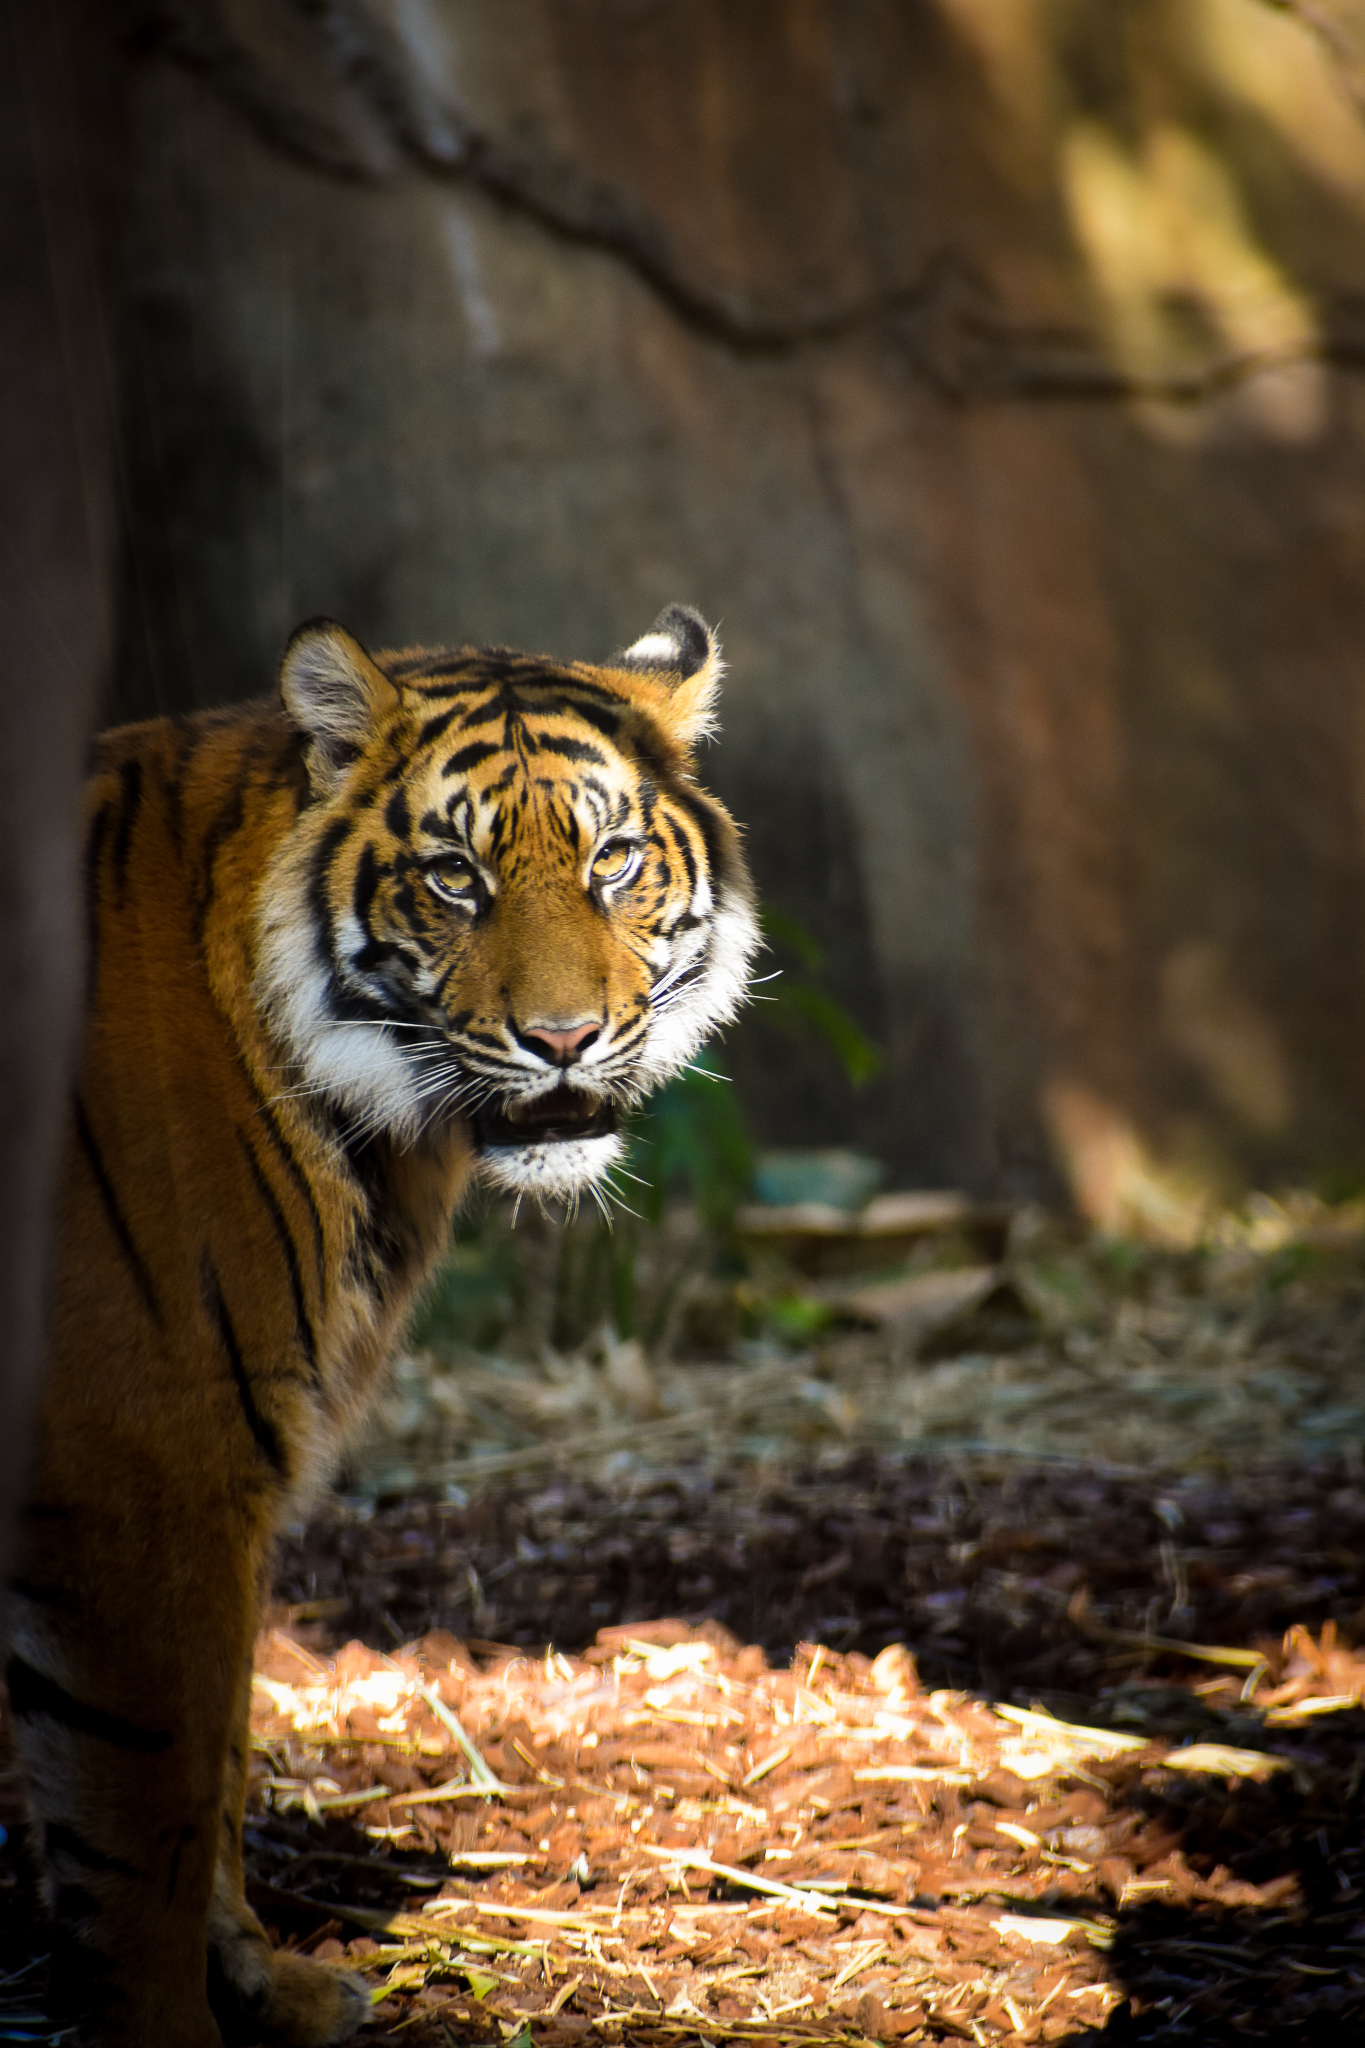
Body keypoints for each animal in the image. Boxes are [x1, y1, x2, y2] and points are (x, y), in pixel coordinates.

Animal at [7, 605, 757, 2047]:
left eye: (614, 859)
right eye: (455, 876)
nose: (564, 1038)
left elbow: (221, 1748)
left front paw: (267, 1980)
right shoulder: (142, 1470)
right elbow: (147, 1802)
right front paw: (170, 2020)